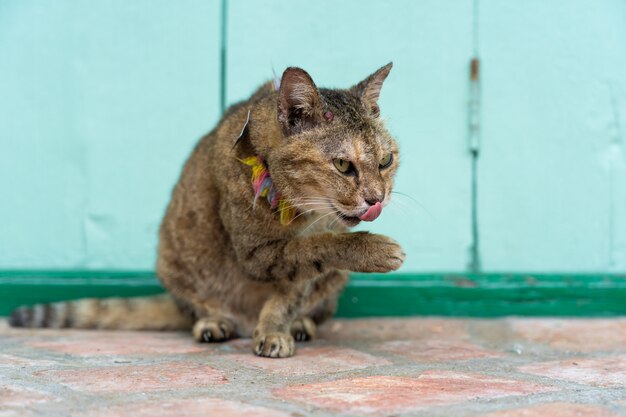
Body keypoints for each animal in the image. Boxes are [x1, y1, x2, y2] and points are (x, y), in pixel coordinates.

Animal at [9, 63, 404, 356]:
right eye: (343, 165)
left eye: (385, 161)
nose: (377, 197)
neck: (305, 212)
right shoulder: (257, 253)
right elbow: (315, 247)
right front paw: (374, 248)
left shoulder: (298, 272)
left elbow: (291, 292)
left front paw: (275, 329)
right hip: (173, 260)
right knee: (194, 308)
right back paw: (213, 323)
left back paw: (300, 325)